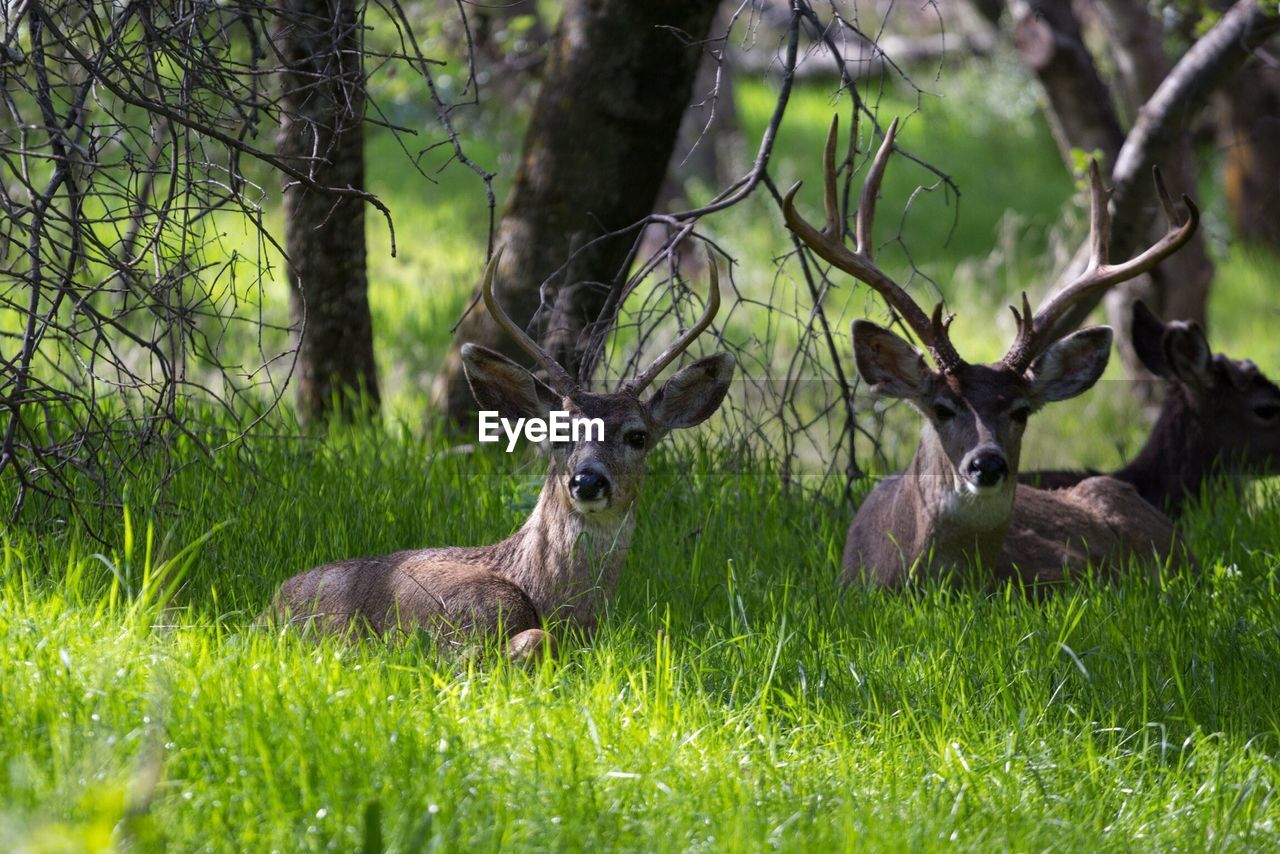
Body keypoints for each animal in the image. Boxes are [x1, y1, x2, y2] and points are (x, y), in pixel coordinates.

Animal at [268, 247, 732, 660]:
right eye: (557, 432)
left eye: (637, 436)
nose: (587, 480)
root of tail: (268, 605)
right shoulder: (457, 626)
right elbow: (532, 641)